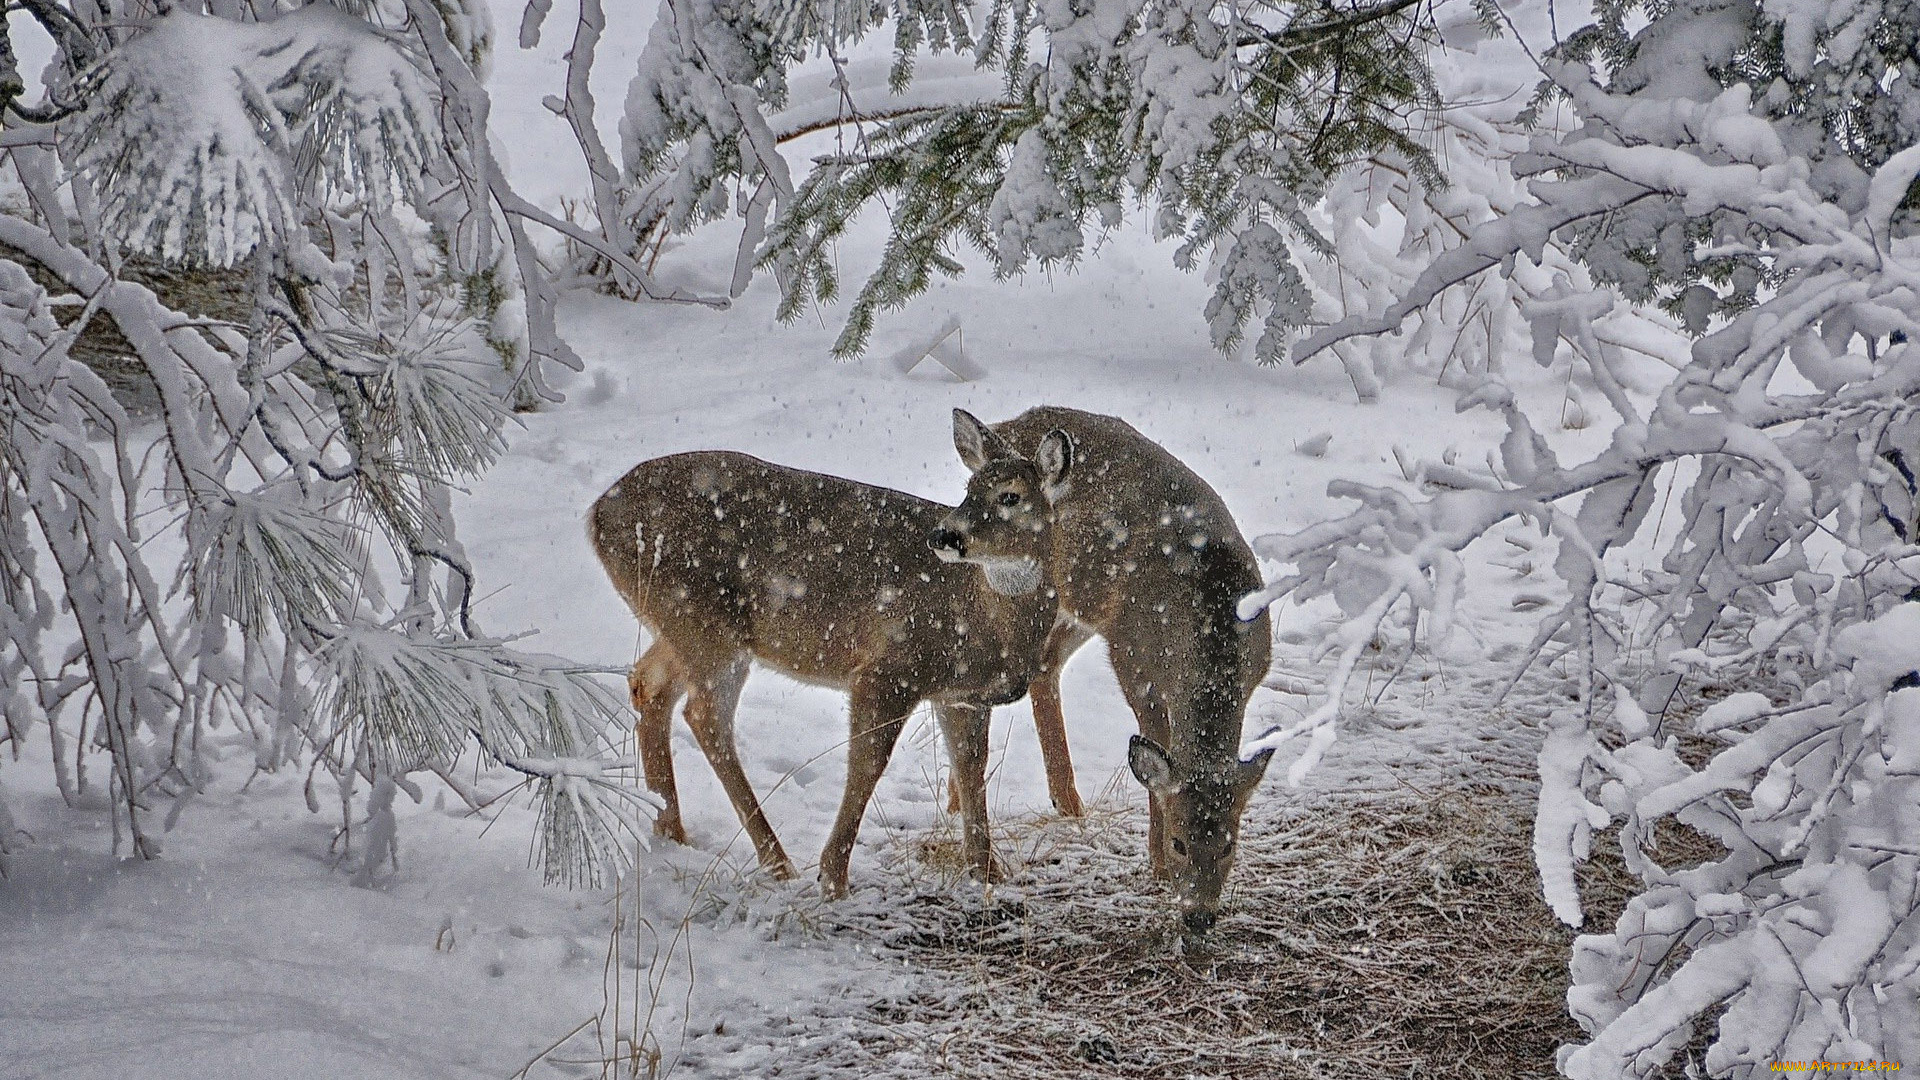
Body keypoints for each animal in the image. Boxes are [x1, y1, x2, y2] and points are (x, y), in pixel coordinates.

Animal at [583, 424, 1075, 895]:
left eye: (1009, 495)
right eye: (969, 488)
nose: (944, 535)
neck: (989, 618)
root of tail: (596, 515)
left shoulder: (962, 695)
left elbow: (972, 770)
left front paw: (988, 873)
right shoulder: (889, 669)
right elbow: (867, 765)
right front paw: (833, 877)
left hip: (679, 625)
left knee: (648, 684)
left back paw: (671, 832)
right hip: (703, 623)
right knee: (705, 717)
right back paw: (777, 861)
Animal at [940, 407, 1274, 930]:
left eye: (1228, 845)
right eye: (1180, 842)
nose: (1199, 916)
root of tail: (1007, 426)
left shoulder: (1256, 671)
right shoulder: (1133, 662)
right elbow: (1154, 758)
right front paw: (1156, 866)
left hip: (1079, 603)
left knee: (1045, 665)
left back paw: (1062, 803)